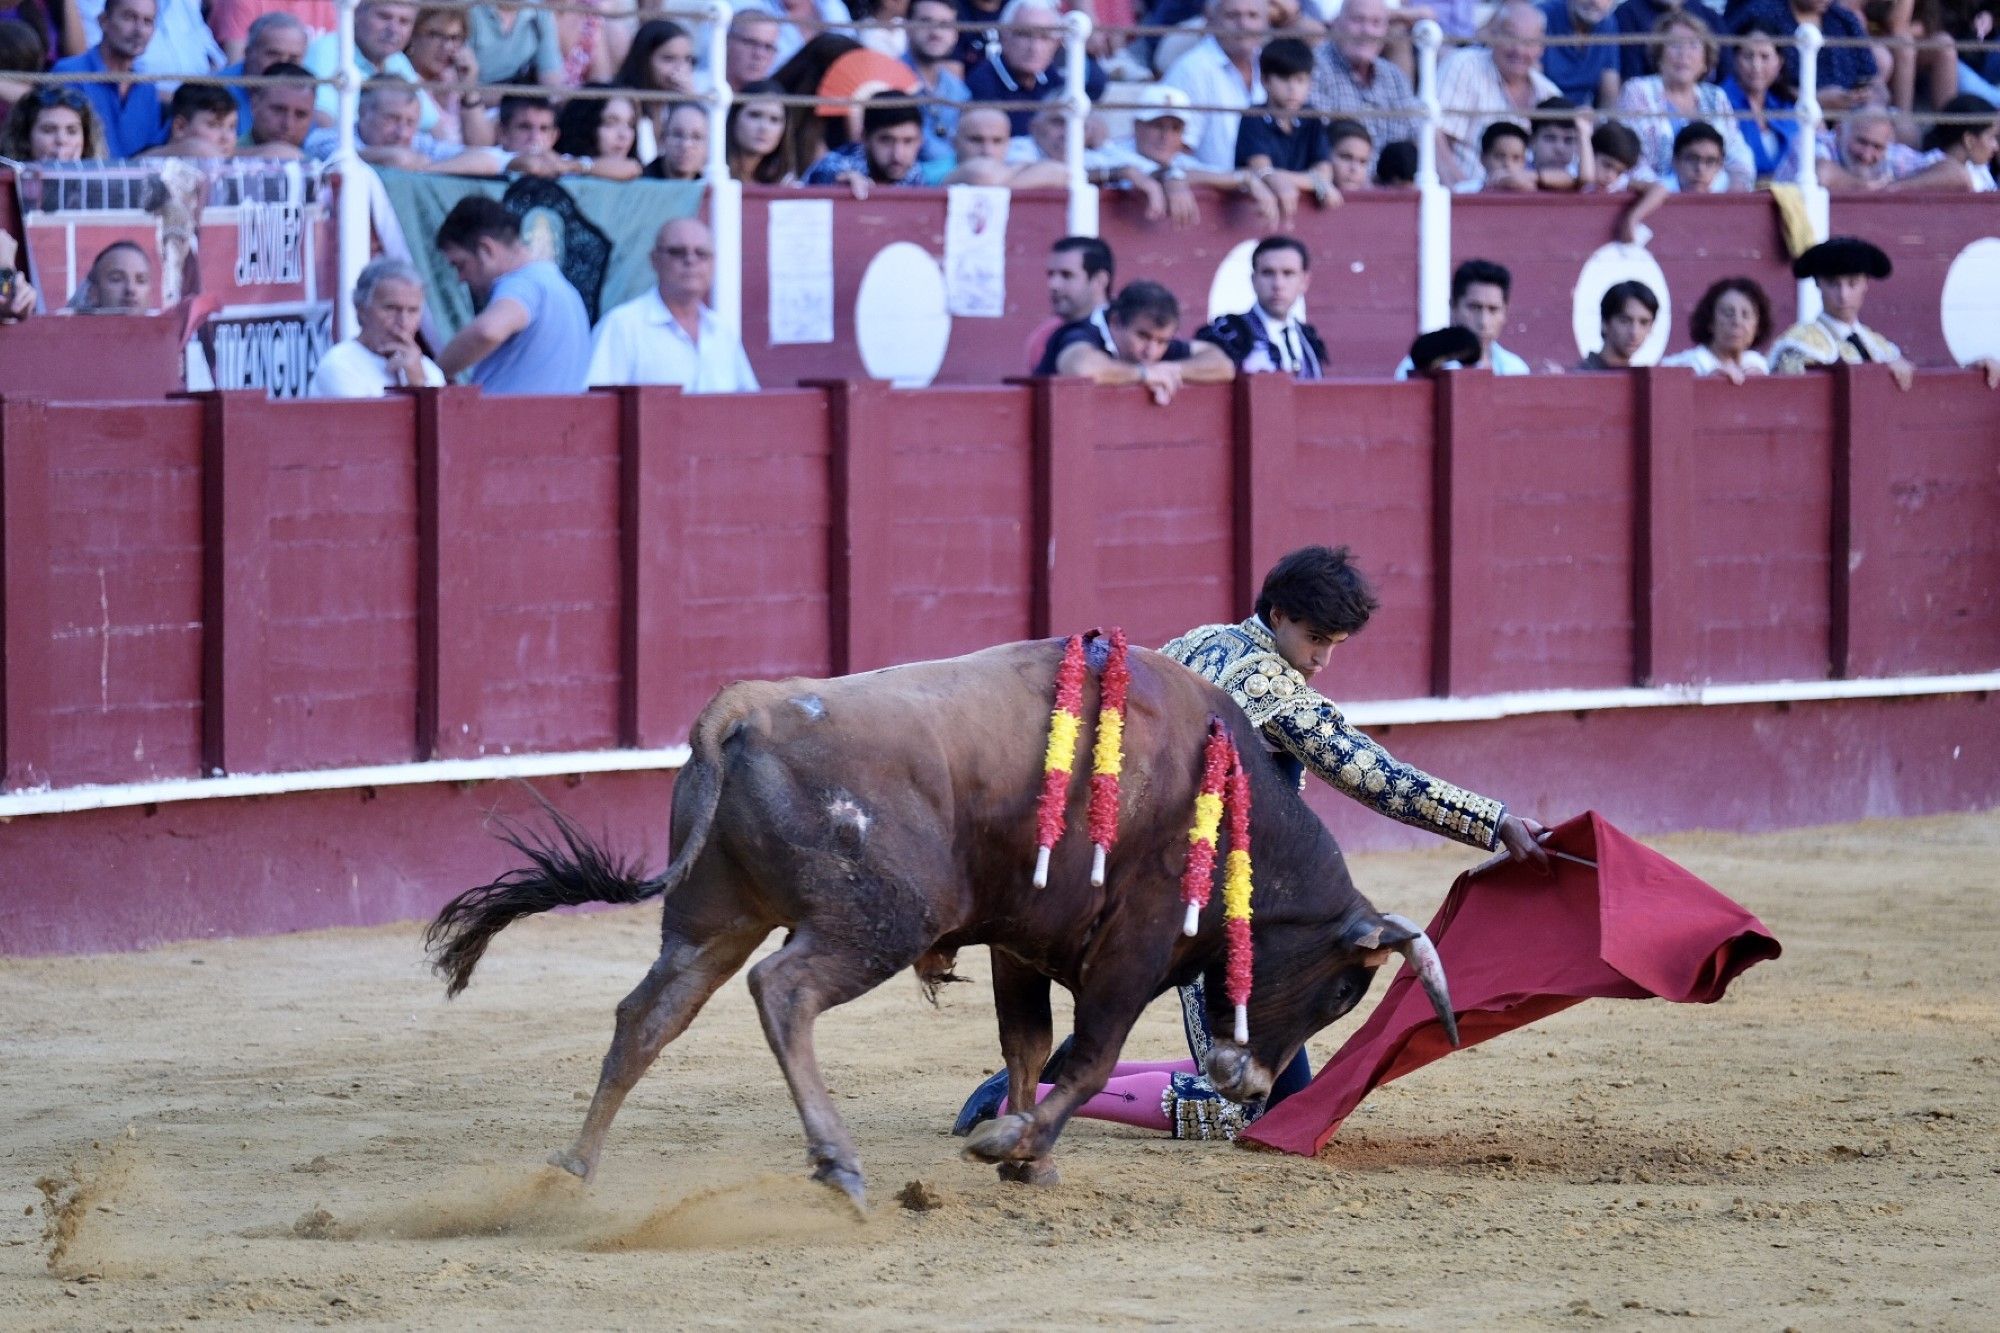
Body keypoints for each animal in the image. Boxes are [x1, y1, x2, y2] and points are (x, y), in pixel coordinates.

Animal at [426, 632, 1456, 1200]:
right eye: (1344, 992)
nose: (1249, 1083)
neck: (1229, 809)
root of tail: (743, 708)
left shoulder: (1021, 942)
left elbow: (1027, 1046)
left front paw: (1027, 1155)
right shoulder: (1134, 943)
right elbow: (1090, 1056)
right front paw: (1010, 1143)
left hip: (713, 917)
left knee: (649, 1014)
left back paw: (571, 1170)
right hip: (875, 920)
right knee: (782, 992)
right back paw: (837, 1163)